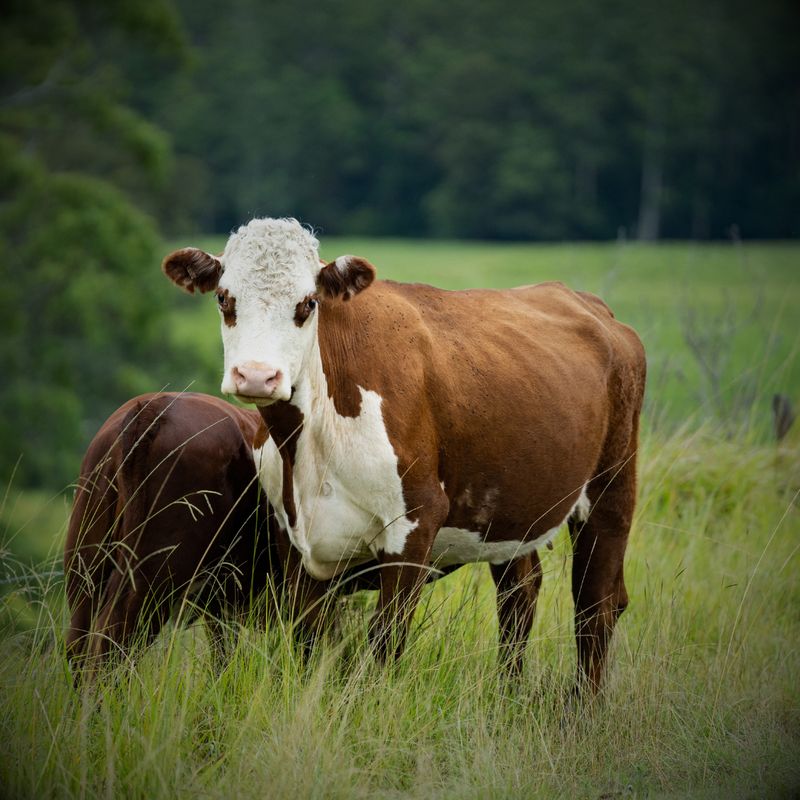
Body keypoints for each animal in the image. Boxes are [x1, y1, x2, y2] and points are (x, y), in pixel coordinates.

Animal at [162, 218, 646, 692]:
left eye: (308, 303)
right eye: (225, 298)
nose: (257, 376)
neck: (309, 441)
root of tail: (588, 304)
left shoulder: (415, 520)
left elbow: (385, 640)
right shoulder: (291, 533)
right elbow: (306, 640)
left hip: (612, 488)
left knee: (595, 604)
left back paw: (581, 707)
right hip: (513, 503)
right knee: (521, 593)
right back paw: (507, 694)